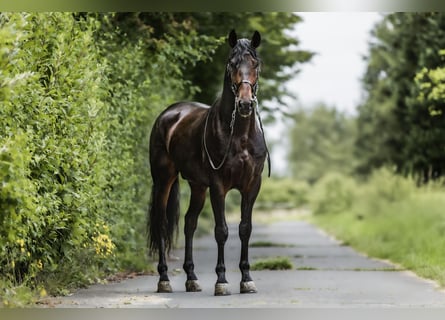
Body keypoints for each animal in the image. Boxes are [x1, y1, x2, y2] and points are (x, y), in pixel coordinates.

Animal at [147, 29, 268, 296]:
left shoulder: (251, 186)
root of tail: (168, 114)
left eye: (256, 64)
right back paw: (164, 280)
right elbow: (221, 231)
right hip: (164, 179)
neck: (239, 134)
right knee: (161, 223)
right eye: (232, 63)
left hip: (197, 186)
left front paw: (247, 280)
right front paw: (221, 281)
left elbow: (245, 228)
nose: (245, 104)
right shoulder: (218, 186)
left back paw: (192, 278)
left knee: (189, 223)